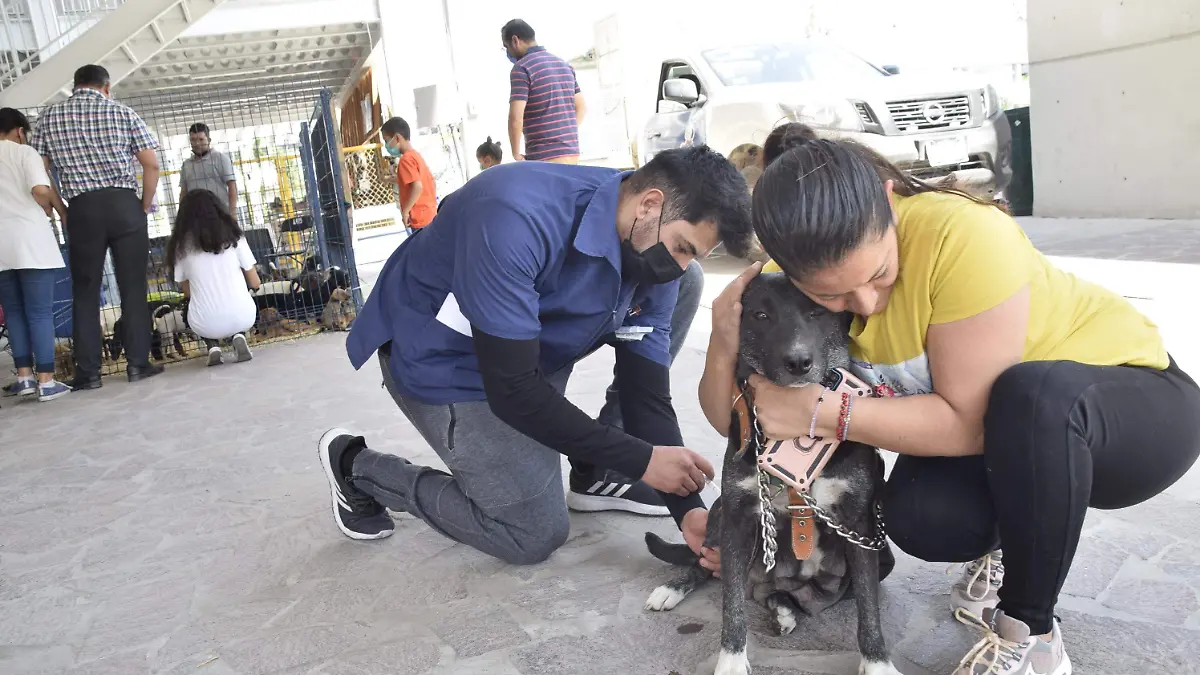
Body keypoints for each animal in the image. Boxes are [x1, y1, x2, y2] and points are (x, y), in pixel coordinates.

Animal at [643, 271, 897, 672]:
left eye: (817, 312)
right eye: (761, 316)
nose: (798, 361)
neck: (795, 431)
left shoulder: (860, 525)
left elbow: (869, 610)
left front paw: (877, 663)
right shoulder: (737, 517)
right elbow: (731, 606)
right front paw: (731, 661)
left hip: (882, 555)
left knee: (785, 595)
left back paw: (786, 609)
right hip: (720, 514)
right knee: (707, 564)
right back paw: (674, 589)